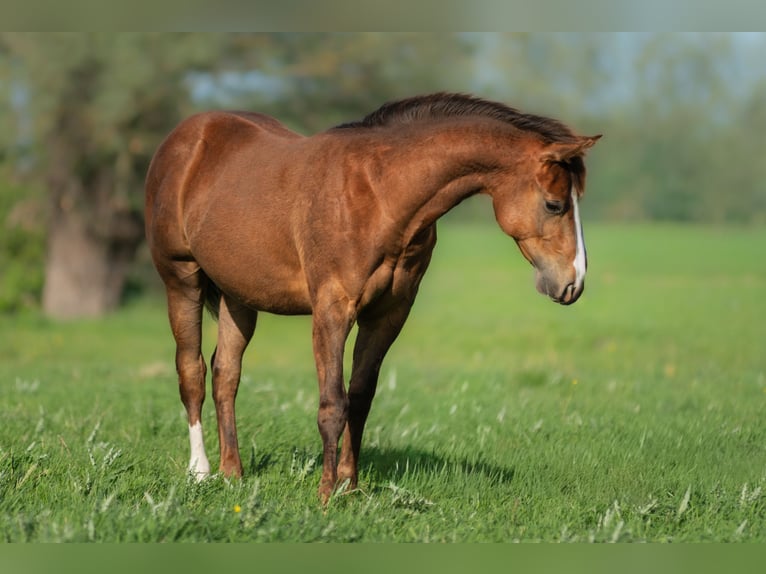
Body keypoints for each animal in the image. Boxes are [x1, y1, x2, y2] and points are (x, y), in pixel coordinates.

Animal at [144, 92, 600, 503]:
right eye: (554, 204)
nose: (573, 284)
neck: (379, 194)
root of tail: (186, 137)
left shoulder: (388, 314)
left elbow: (360, 398)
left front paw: (350, 486)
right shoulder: (332, 310)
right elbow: (333, 404)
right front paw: (326, 495)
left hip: (239, 297)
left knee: (226, 374)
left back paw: (232, 473)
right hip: (181, 279)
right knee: (192, 372)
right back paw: (201, 472)